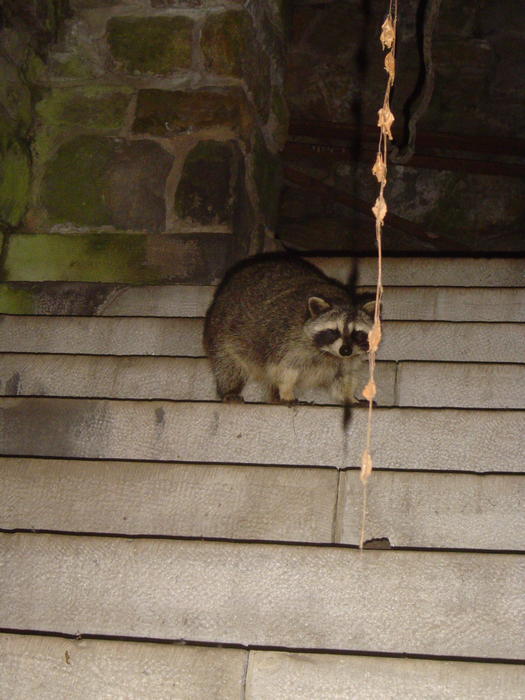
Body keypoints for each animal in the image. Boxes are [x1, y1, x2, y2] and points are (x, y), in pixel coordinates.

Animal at [203, 253, 374, 404]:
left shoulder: (346, 360)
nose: (345, 350)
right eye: (333, 331)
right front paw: (286, 393)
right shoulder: (286, 338)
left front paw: (350, 397)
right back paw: (230, 390)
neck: (327, 353)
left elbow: (344, 377)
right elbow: (284, 370)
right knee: (228, 365)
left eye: (357, 333)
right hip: (221, 332)